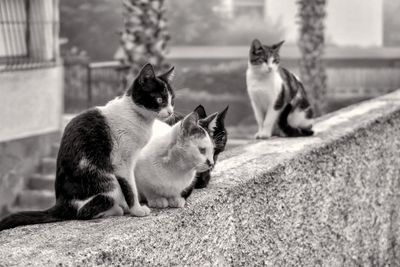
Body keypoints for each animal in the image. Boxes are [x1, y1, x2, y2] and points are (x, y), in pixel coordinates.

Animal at [0, 63, 175, 231]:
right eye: (159, 99)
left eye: (172, 100)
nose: (171, 112)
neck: (136, 115)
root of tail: (62, 203)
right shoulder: (122, 162)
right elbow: (130, 187)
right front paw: (137, 210)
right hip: (108, 182)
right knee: (83, 212)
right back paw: (116, 209)